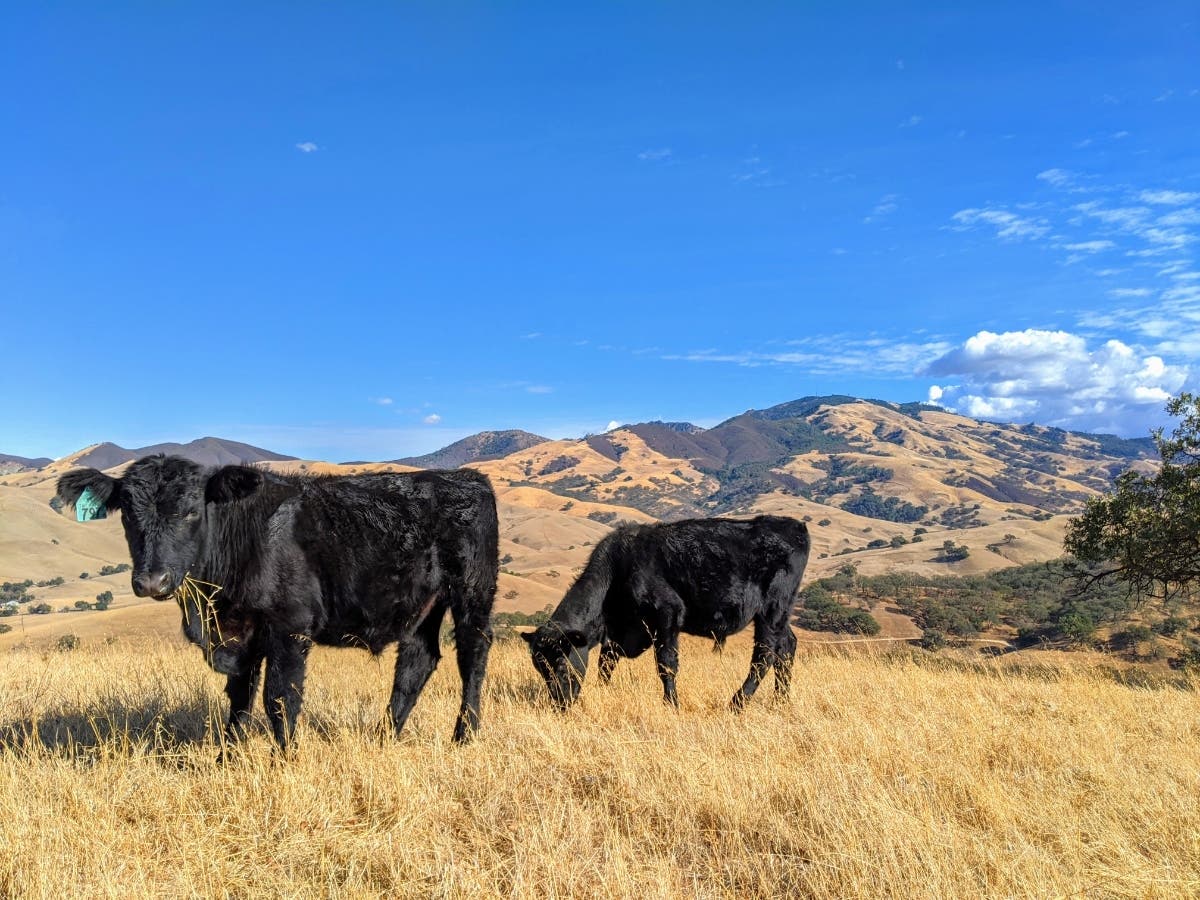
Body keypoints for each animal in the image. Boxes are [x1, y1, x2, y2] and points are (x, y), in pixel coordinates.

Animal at [58, 455, 498, 750]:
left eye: (190, 511)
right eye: (127, 515)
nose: (152, 581)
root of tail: (465, 477)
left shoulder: (290, 626)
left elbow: (280, 699)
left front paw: (283, 760)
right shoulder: (238, 633)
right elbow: (239, 700)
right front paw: (227, 759)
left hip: (473, 592)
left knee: (472, 656)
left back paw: (465, 735)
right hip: (424, 605)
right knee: (416, 661)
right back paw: (384, 736)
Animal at [522, 515, 810, 711]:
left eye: (561, 663)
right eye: (540, 668)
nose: (560, 703)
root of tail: (793, 525)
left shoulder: (666, 614)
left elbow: (666, 664)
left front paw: (671, 703)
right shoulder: (621, 633)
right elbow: (606, 663)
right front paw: (604, 690)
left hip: (771, 609)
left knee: (765, 655)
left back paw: (737, 703)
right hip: (781, 614)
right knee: (787, 647)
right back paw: (781, 700)